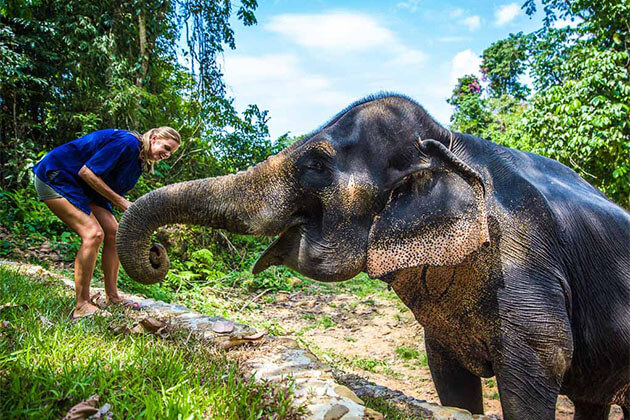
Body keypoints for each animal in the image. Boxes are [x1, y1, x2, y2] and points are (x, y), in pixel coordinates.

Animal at [116, 95, 628, 420]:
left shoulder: (525, 261)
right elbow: (450, 377)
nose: (158, 253)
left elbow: (541, 360)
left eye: (316, 164)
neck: (451, 141)